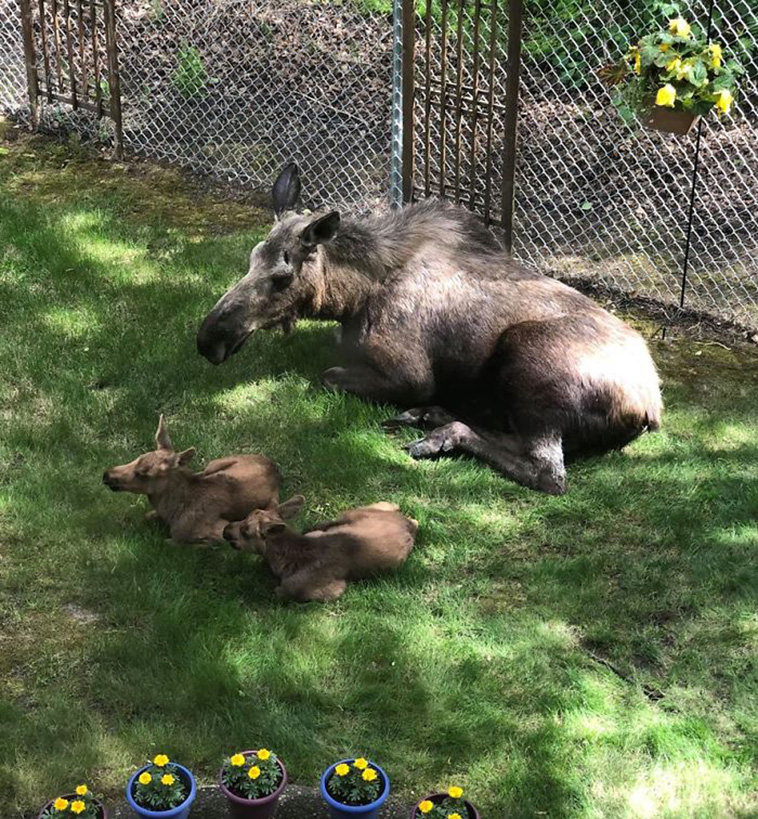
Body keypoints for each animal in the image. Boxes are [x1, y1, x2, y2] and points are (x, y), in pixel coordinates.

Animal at [197, 164, 662, 495]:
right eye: (250, 259)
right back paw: (433, 416)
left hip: (528, 356)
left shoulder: (411, 374)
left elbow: (328, 376)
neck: (351, 298)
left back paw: (440, 432)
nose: (208, 340)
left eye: (282, 276)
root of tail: (650, 409)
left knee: (548, 472)